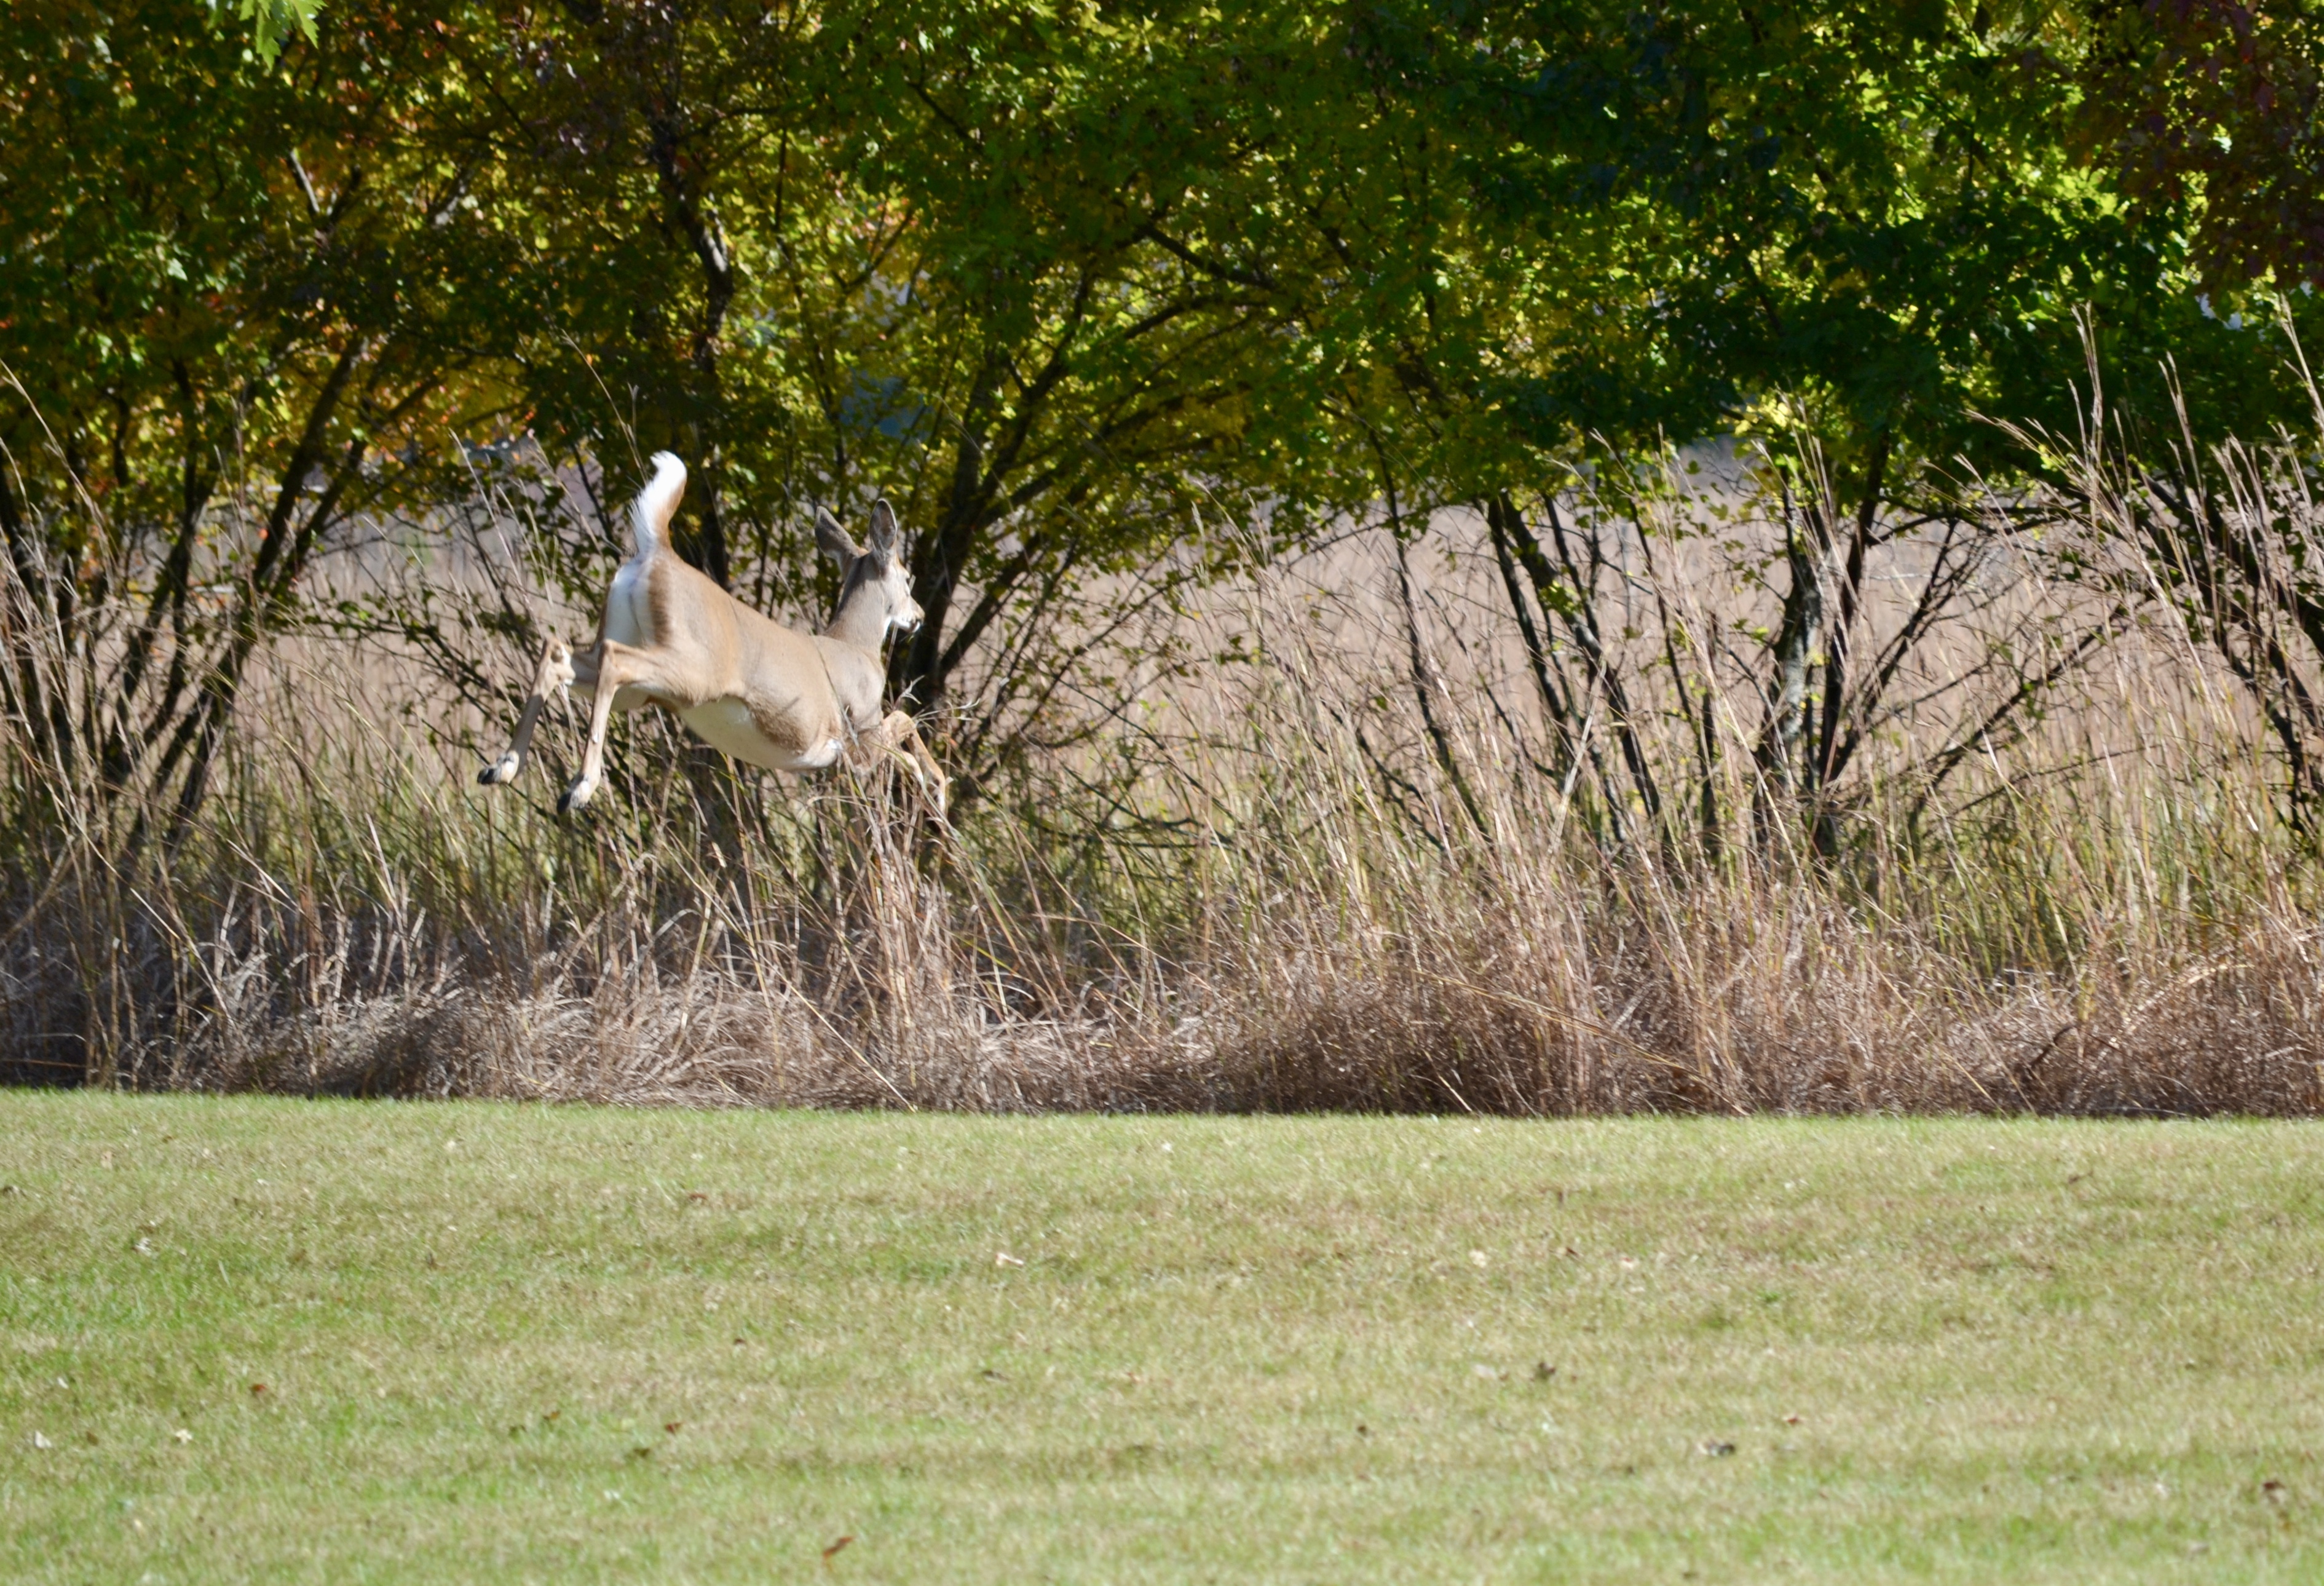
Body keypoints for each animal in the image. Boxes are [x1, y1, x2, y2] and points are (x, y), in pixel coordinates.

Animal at [477, 452, 946, 817]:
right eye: (908, 577)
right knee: (613, 658)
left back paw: (502, 767)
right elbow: (904, 718)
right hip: (694, 671)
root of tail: (657, 553)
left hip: (642, 682)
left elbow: (904, 726)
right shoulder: (858, 734)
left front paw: (929, 781)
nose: (920, 615)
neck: (855, 644)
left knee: (559, 651)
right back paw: (578, 789)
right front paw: (935, 782)